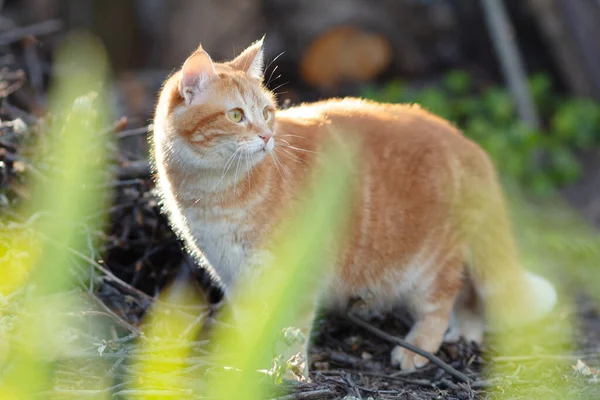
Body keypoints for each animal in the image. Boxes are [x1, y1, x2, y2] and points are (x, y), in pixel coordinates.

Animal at [154, 37, 556, 378]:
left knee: (444, 300)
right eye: (236, 116)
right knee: (470, 300)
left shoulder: (298, 274)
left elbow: (293, 330)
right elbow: (253, 329)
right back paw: (464, 335)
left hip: (430, 265)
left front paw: (291, 373)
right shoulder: (236, 278)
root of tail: (467, 143)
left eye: (267, 112)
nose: (267, 137)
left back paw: (419, 347)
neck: (214, 194)